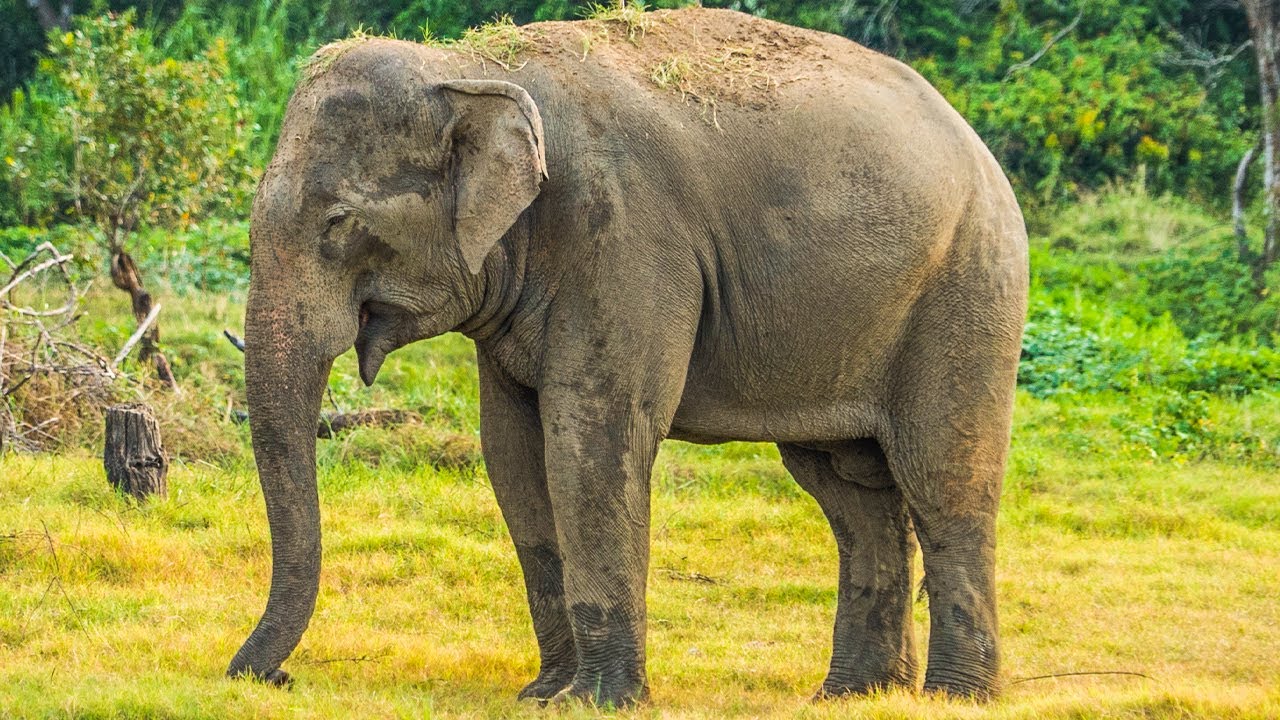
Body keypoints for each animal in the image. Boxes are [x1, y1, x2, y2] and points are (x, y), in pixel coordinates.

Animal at [228, 7, 1028, 707]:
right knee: (848, 489)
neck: (476, 65)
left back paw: (956, 696)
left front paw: (598, 701)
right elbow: (513, 451)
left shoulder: (624, 237)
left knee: (942, 479)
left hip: (967, 290)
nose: (273, 678)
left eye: (338, 222)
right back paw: (854, 694)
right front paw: (544, 695)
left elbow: (593, 434)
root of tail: (979, 145)